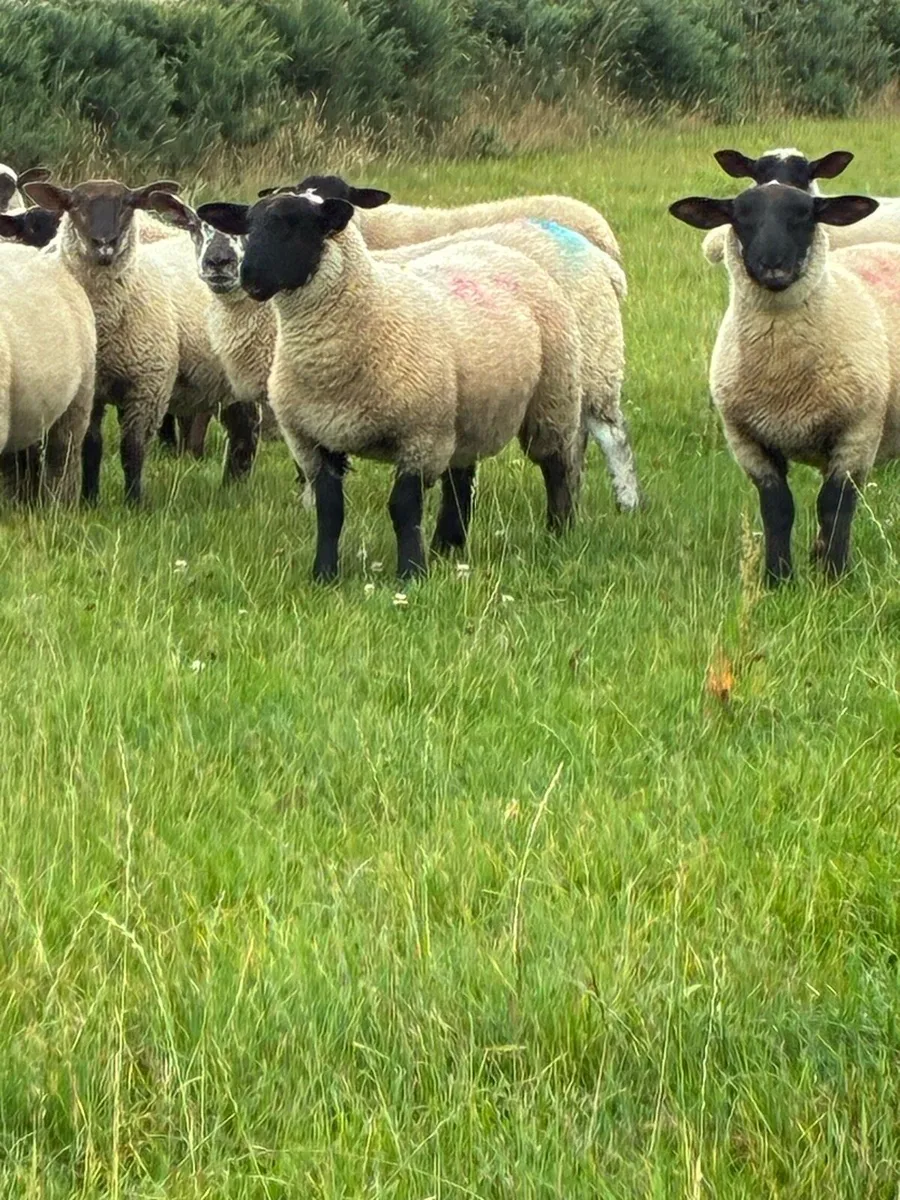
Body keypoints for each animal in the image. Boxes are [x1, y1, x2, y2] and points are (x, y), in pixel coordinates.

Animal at [24, 177, 182, 505]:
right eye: (75, 205)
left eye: (127, 204)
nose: (104, 244)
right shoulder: (92, 389)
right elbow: (91, 446)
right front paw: (89, 499)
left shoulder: (147, 387)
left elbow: (133, 449)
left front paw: (135, 502)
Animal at [198, 191, 585, 581]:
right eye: (248, 228)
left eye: (297, 225)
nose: (249, 277)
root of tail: (497, 249)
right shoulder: (314, 439)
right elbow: (329, 511)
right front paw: (324, 575)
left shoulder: (420, 436)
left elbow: (403, 508)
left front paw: (411, 573)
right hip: (465, 415)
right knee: (460, 478)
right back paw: (448, 545)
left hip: (552, 397)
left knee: (555, 466)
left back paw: (558, 531)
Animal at [669, 182, 900, 584]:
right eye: (740, 216)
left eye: (805, 215)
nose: (773, 265)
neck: (784, 380)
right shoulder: (747, 440)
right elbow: (778, 508)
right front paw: (778, 578)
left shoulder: (858, 432)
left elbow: (834, 506)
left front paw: (834, 577)